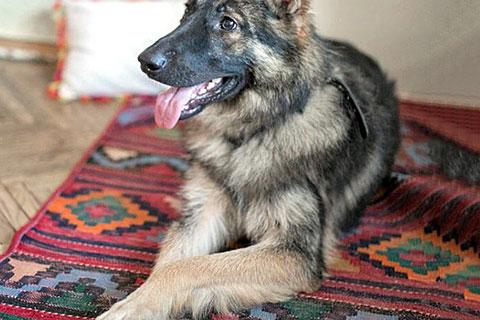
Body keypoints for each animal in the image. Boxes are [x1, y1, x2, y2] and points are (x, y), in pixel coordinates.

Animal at [96, 0, 398, 318]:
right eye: (187, 11)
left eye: (229, 23)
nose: (144, 61)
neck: (250, 133)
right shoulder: (204, 215)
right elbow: (168, 263)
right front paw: (139, 301)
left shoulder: (294, 252)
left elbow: (187, 268)